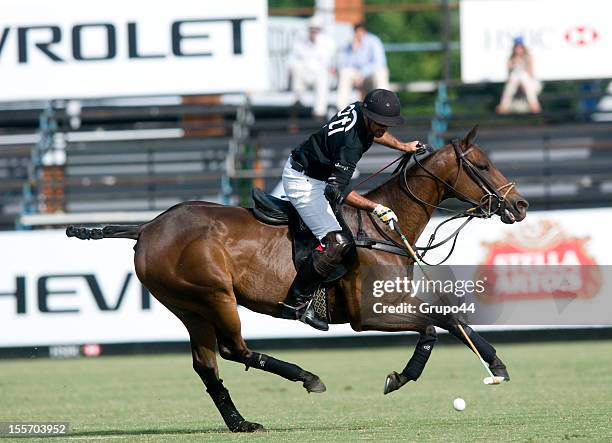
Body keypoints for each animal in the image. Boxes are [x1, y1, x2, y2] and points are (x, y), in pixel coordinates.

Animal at [65, 125, 524, 434]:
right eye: (482, 165)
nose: (519, 205)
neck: (383, 229)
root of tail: (147, 227)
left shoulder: (394, 302)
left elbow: (452, 319)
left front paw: (497, 366)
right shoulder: (369, 314)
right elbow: (431, 327)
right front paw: (399, 378)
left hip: (187, 306)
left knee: (207, 364)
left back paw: (241, 423)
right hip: (214, 295)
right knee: (233, 349)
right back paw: (306, 377)